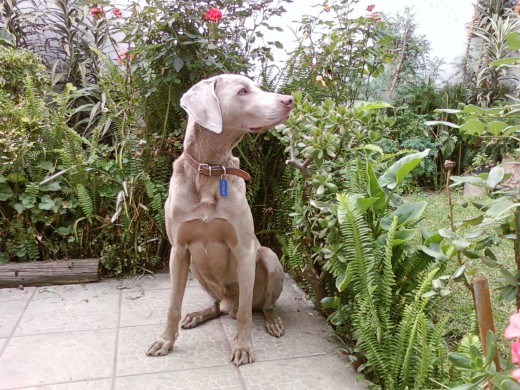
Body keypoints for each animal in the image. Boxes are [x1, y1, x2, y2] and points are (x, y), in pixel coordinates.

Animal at [144, 74, 294, 368]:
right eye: (243, 91)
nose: (290, 100)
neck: (210, 169)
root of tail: (228, 304)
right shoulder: (178, 250)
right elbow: (173, 304)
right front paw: (165, 341)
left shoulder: (244, 249)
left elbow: (246, 313)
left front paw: (243, 348)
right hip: (195, 268)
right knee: (217, 306)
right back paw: (199, 315)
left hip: (269, 257)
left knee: (261, 305)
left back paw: (272, 322)